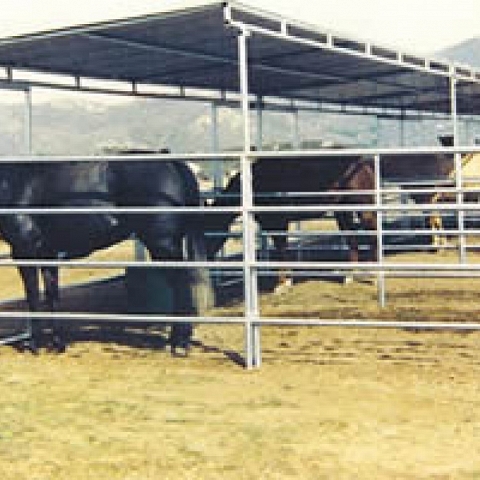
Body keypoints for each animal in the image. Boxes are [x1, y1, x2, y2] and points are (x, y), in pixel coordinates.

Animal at [0, 156, 208, 354]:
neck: (16, 181)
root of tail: (172, 163)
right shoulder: (47, 254)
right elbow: (51, 295)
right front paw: (58, 343)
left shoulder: (24, 250)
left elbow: (33, 296)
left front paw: (33, 344)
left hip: (163, 244)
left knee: (181, 285)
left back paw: (178, 343)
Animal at [206, 155, 378, 288]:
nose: (206, 256)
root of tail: (364, 164)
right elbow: (282, 250)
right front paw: (287, 281)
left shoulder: (276, 222)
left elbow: (281, 251)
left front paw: (282, 284)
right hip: (343, 211)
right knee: (352, 239)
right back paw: (349, 276)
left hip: (363, 209)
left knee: (373, 234)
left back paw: (374, 274)